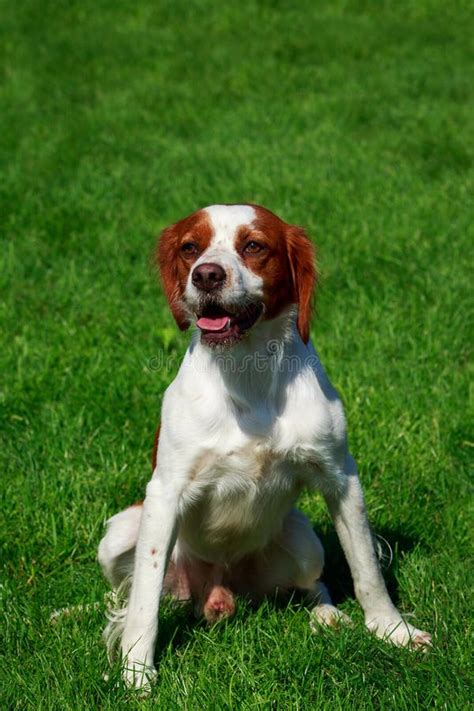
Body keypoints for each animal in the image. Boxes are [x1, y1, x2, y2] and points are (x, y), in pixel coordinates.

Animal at [98, 204, 432, 688]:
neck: (246, 371)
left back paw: (327, 617)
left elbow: (366, 569)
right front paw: (137, 672)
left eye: (254, 245)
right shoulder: (163, 495)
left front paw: (392, 630)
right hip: (121, 533)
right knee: (134, 594)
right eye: (190, 248)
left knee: (314, 585)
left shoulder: (342, 477)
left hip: (304, 541)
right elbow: (145, 602)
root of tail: (221, 589)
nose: (206, 275)